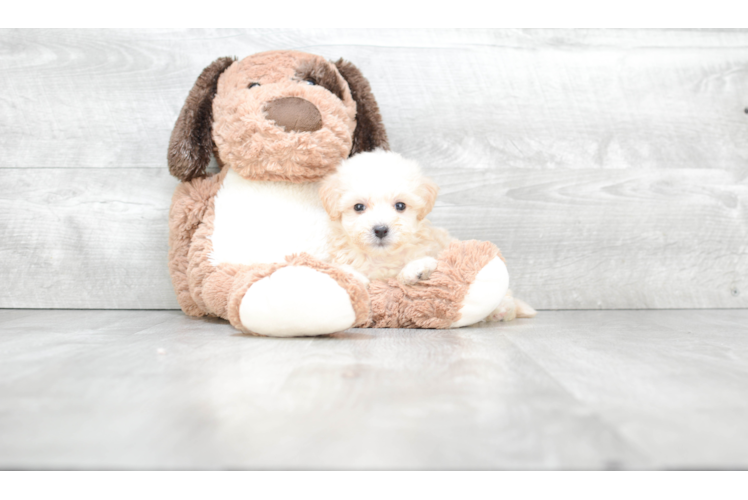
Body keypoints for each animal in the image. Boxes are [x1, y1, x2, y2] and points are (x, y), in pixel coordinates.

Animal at [318, 148, 536, 322]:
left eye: (400, 206)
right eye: (358, 207)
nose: (380, 229)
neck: (383, 257)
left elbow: (423, 260)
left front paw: (415, 270)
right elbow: (341, 268)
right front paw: (355, 278)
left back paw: (500, 310)